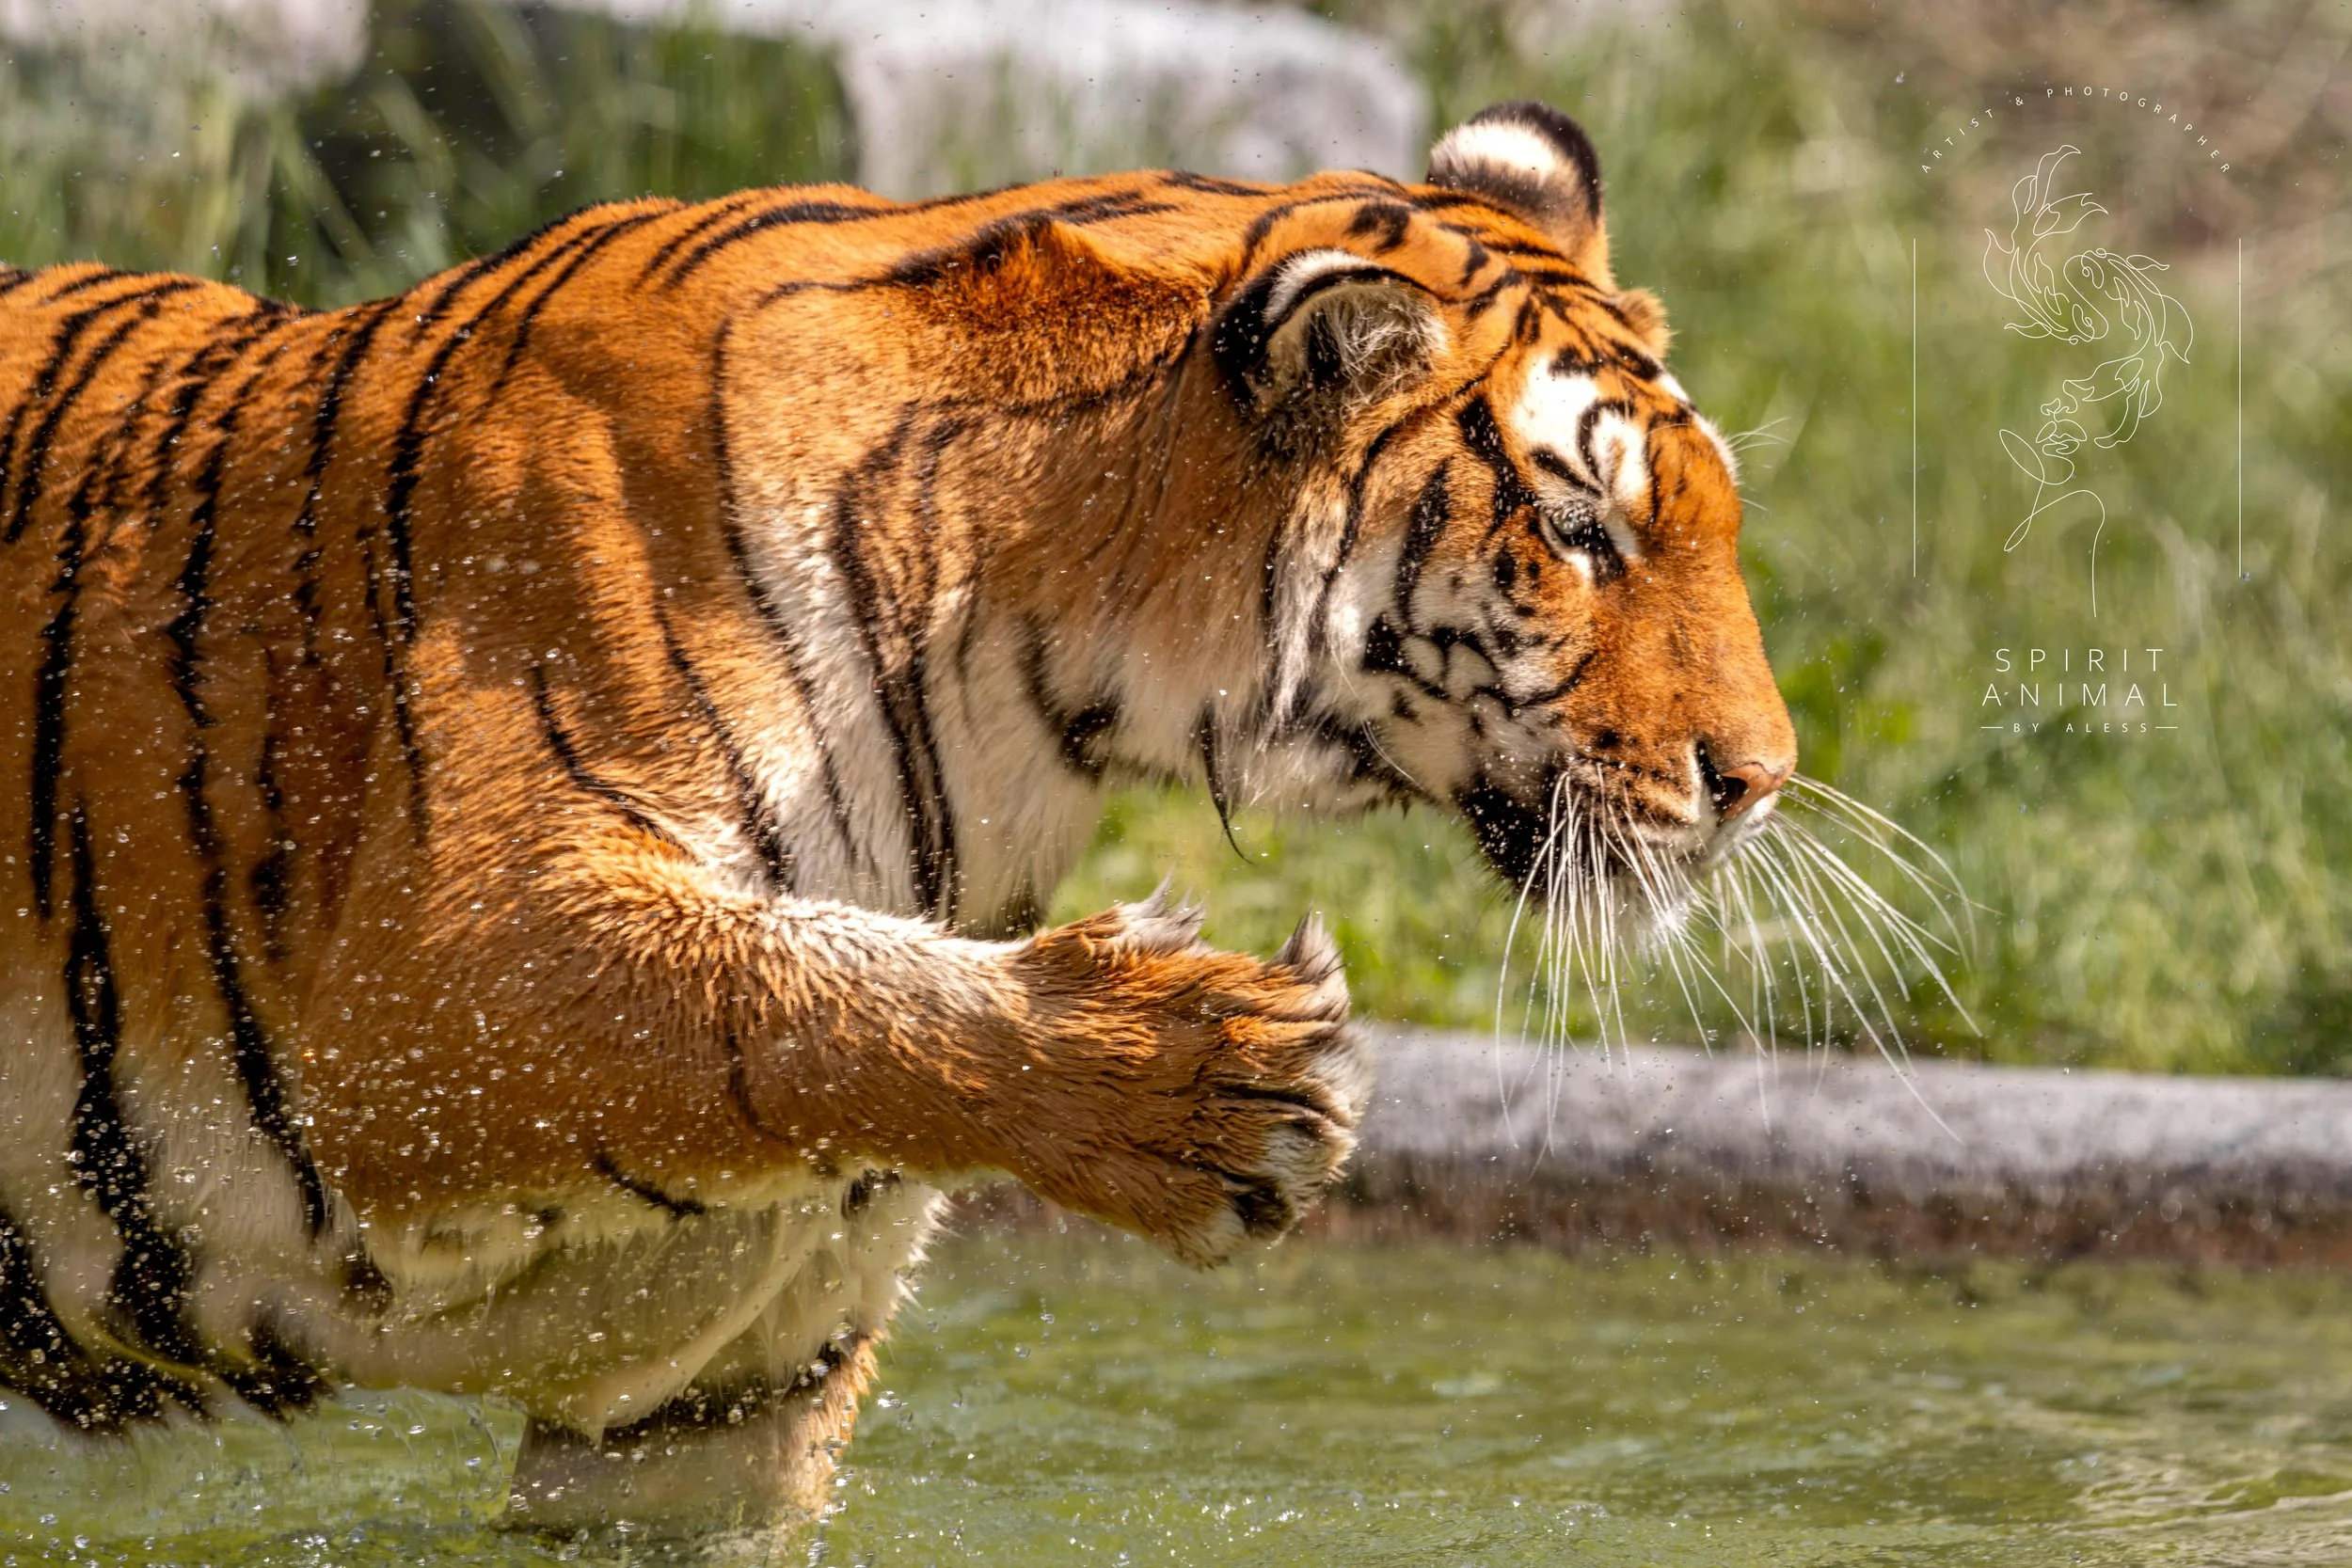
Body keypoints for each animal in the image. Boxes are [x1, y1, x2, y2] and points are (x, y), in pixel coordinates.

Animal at [0, 101, 1794, 1532]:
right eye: (1581, 533)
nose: (1762, 777)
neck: (1038, 700)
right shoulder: (426, 979)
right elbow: (761, 993)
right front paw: (1208, 1080)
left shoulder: (713, 1407)